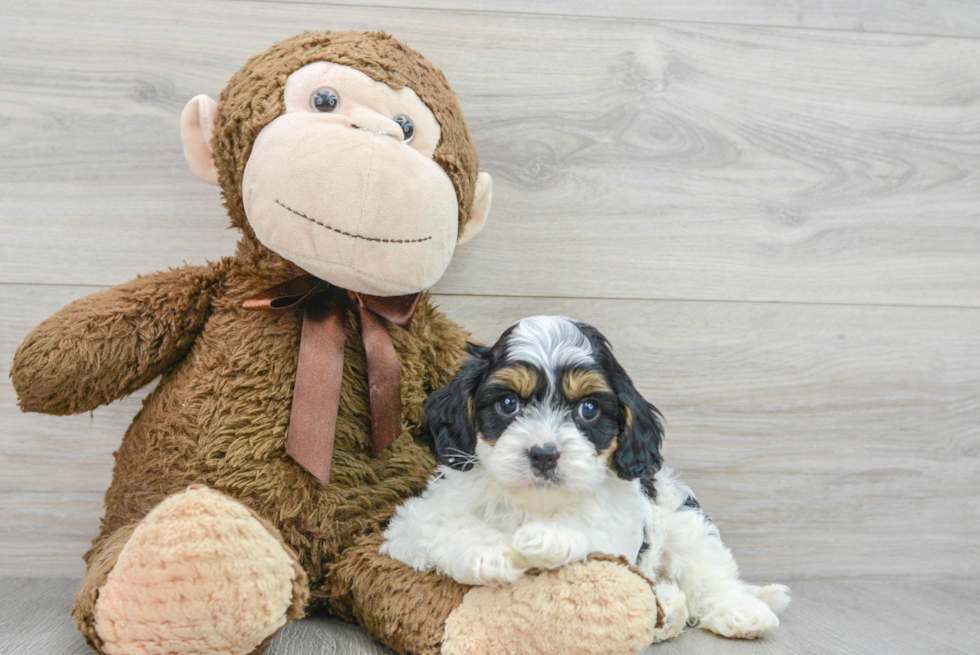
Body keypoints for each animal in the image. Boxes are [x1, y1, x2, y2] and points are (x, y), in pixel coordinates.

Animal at [380, 316, 788, 640]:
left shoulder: (618, 530)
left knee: (710, 573)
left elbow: (590, 539)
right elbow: (444, 524)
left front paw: (549, 538)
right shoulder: (413, 522)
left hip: (683, 521)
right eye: (508, 403)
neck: (536, 501)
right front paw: (492, 553)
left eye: (588, 409)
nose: (544, 453)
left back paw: (740, 612)